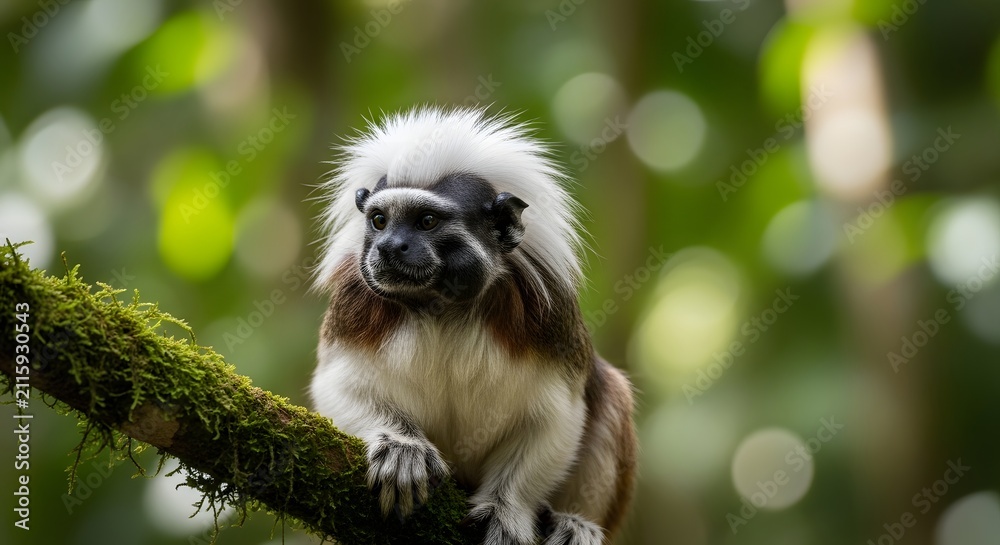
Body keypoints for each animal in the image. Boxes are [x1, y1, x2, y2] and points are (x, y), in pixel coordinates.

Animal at [310, 107, 637, 545]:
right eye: (379, 220)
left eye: (427, 221)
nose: (388, 246)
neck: (441, 306)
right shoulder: (353, 307)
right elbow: (337, 387)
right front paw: (401, 449)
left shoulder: (552, 323)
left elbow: (555, 418)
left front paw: (506, 510)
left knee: (611, 393)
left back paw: (574, 523)